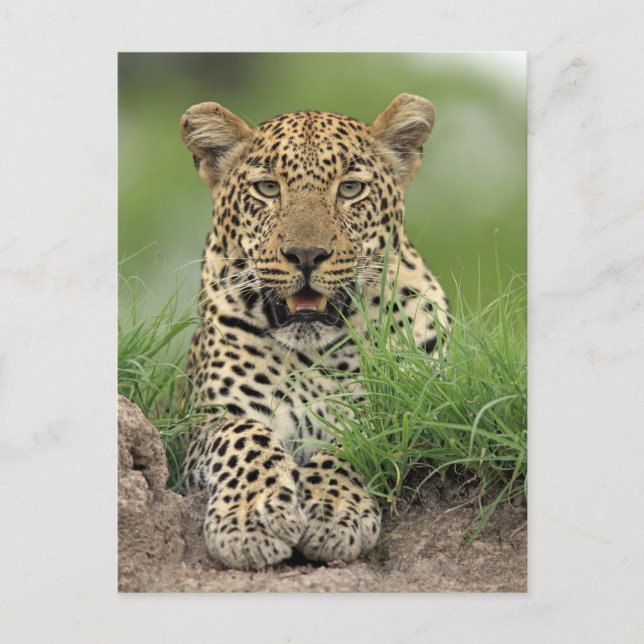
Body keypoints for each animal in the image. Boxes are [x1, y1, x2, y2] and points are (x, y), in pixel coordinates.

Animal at [178, 93, 450, 570]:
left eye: (350, 189)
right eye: (268, 189)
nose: (306, 254)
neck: (315, 355)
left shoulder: (415, 408)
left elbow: (358, 437)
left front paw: (334, 511)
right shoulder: (204, 426)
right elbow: (244, 435)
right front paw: (250, 518)